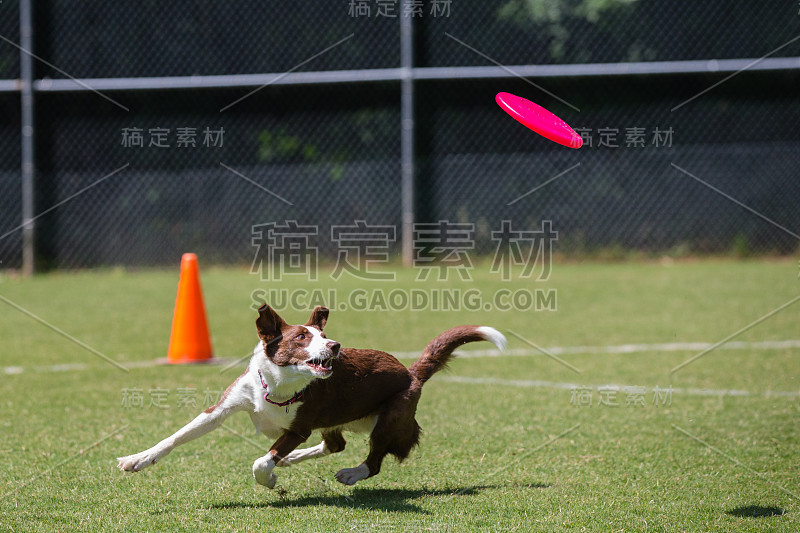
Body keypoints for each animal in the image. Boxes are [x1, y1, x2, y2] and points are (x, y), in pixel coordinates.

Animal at [117, 304, 506, 486]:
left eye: (323, 335)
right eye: (301, 337)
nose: (335, 346)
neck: (279, 385)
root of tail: (412, 372)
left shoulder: (300, 426)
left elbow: (261, 461)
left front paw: (270, 478)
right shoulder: (226, 406)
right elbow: (177, 436)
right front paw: (137, 459)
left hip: (392, 417)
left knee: (375, 459)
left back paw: (350, 473)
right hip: (337, 418)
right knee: (336, 444)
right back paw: (295, 459)